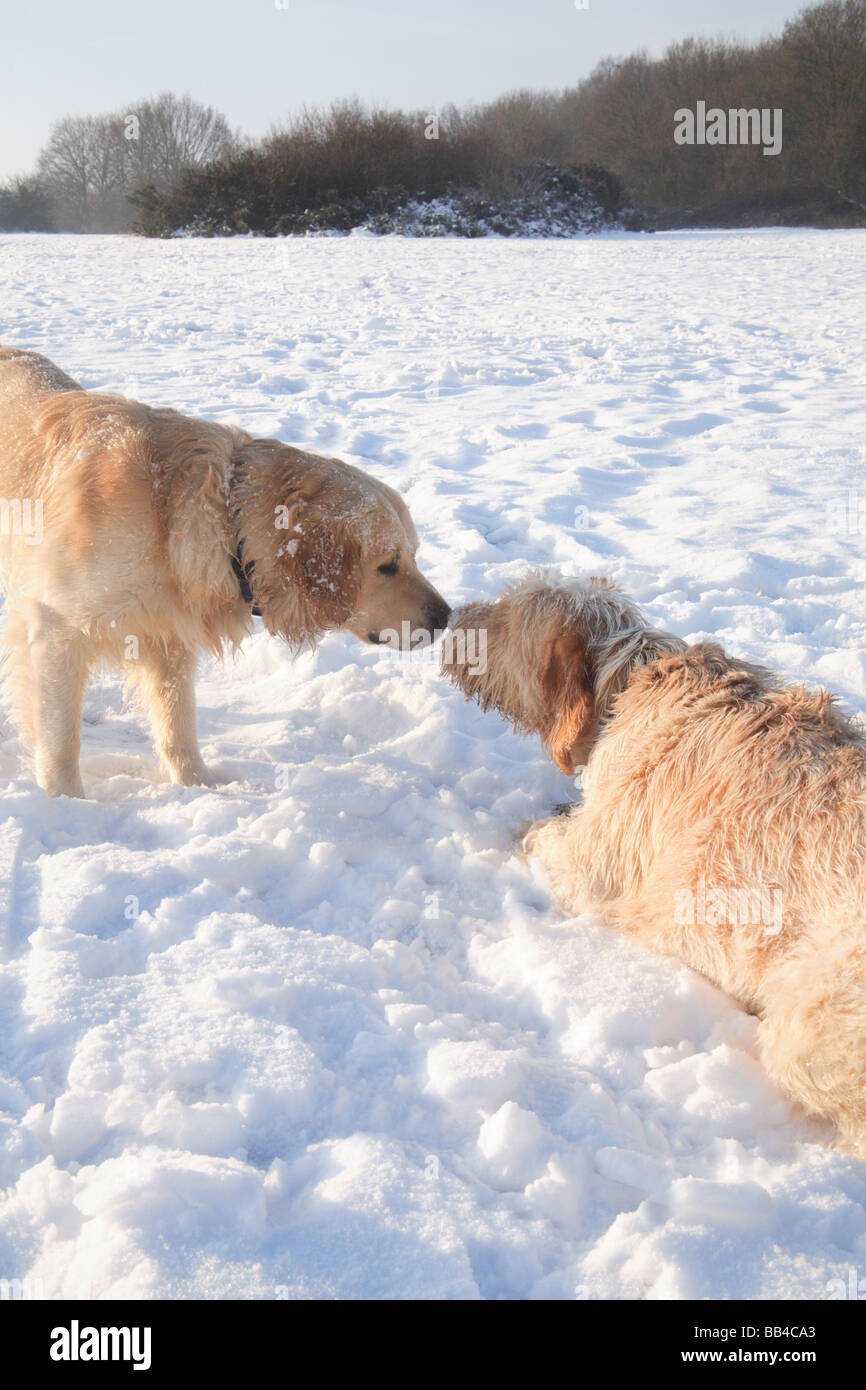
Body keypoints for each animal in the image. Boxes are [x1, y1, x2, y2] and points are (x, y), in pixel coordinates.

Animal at [0, 347, 447, 800]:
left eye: (414, 555)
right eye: (387, 565)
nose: (446, 617)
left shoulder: (170, 638)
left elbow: (179, 728)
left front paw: (199, 786)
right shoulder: (57, 631)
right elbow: (61, 744)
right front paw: (66, 802)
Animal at [447, 569, 866, 1156]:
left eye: (509, 614)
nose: (449, 618)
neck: (629, 678)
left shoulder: (592, 865)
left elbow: (538, 838)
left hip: (806, 1025)